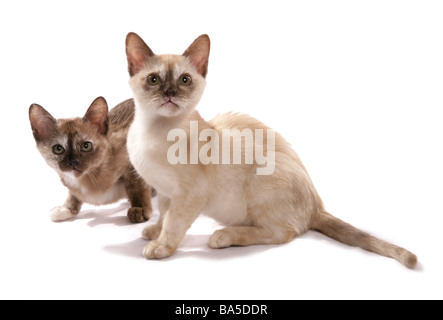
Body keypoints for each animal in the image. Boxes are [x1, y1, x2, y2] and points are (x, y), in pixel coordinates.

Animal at [29, 96, 154, 224]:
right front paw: (67, 209)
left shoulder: (133, 164)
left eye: (86, 146)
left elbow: (136, 187)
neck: (85, 180)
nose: (73, 162)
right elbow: (73, 195)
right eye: (58, 149)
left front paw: (139, 209)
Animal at [125, 31, 420, 268]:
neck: (154, 131)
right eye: (154, 80)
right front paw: (154, 232)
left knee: (283, 233)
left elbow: (173, 223)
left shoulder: (189, 195)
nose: (170, 93)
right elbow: (164, 215)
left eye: (185, 80)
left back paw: (224, 236)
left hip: (262, 181)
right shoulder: (165, 192)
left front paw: (161, 247)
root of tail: (317, 205)